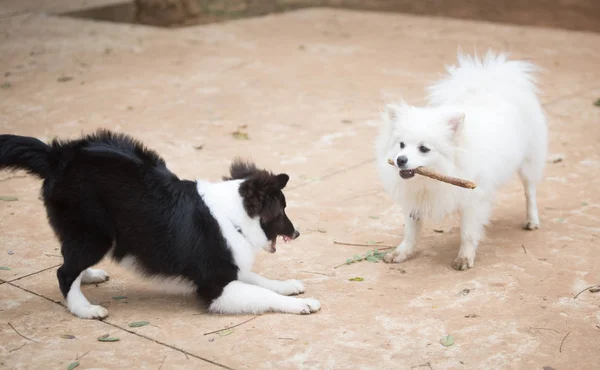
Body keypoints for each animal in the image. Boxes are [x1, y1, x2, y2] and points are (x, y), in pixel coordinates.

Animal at [0, 129, 322, 318]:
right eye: (281, 210)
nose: (297, 232)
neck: (233, 215)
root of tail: (57, 155)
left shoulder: (231, 268)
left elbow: (261, 281)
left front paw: (287, 285)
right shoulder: (214, 285)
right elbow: (261, 293)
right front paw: (301, 305)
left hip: (83, 232)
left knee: (69, 259)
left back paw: (88, 276)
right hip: (96, 233)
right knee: (64, 272)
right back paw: (85, 309)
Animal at [378, 50, 548, 270]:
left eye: (424, 149)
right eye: (401, 145)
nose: (400, 160)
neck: (430, 179)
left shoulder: (471, 201)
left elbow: (467, 233)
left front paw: (464, 258)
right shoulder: (414, 200)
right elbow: (410, 232)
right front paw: (402, 252)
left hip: (529, 162)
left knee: (530, 191)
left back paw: (531, 220)